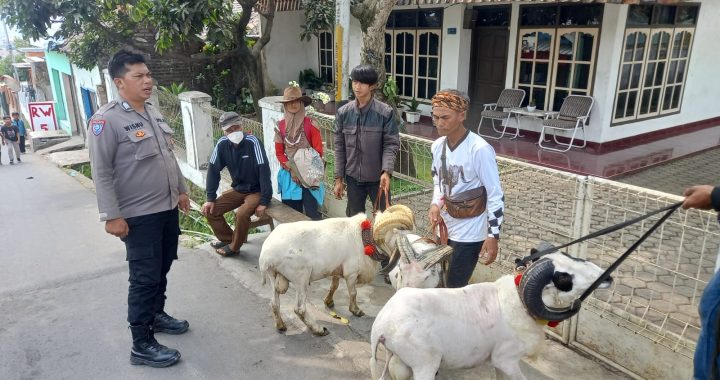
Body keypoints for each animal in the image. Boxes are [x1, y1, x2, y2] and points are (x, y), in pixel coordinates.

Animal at [258, 205, 414, 336]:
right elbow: (353, 293)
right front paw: (356, 310)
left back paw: (281, 326)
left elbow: (334, 286)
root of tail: (265, 256)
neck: (363, 238)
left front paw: (328, 301)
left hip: (273, 276)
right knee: (299, 309)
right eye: (401, 233)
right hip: (301, 277)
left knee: (274, 303)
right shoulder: (351, 273)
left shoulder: (337, 269)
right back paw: (319, 330)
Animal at [372, 246, 612, 380]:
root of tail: (381, 327)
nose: (607, 276)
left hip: (399, 361)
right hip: (424, 364)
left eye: (572, 258)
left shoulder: (501, 365)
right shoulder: (506, 360)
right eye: (563, 277)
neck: (518, 302)